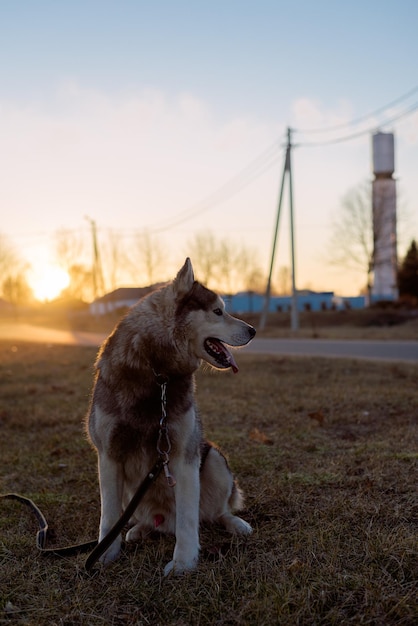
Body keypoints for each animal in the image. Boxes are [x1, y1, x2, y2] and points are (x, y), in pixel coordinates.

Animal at [87, 256, 256, 572]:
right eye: (217, 311)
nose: (253, 330)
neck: (159, 373)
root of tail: (164, 521)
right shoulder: (109, 456)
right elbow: (109, 515)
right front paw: (105, 552)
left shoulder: (183, 454)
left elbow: (189, 519)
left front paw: (183, 562)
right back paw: (139, 529)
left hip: (214, 458)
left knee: (213, 512)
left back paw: (234, 523)